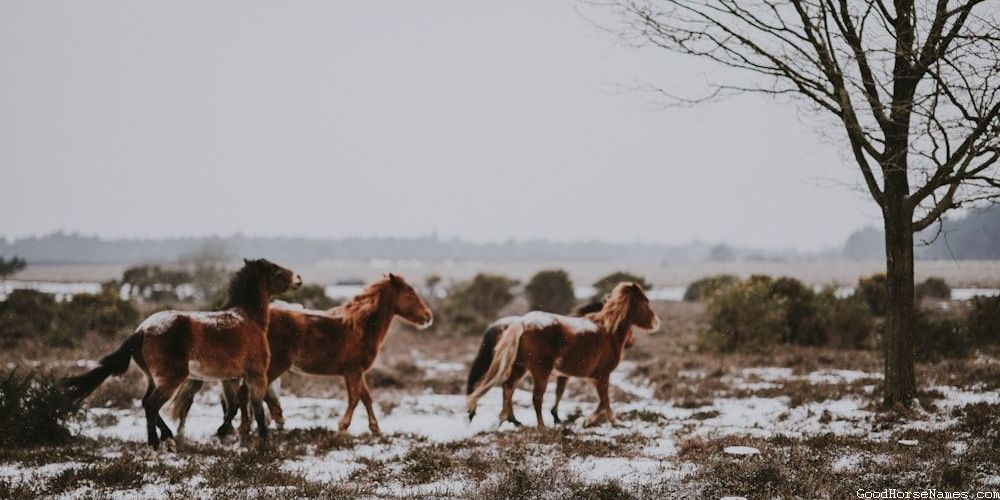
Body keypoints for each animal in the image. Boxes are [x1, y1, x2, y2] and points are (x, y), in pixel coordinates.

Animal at [63, 258, 302, 450]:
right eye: (276, 269)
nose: (298, 278)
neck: (249, 320)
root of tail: (141, 330)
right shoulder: (256, 375)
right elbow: (257, 408)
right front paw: (263, 443)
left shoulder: (231, 378)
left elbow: (233, 408)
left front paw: (225, 432)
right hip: (172, 378)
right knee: (151, 405)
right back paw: (157, 445)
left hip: (153, 378)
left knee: (146, 403)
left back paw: (167, 438)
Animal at [170, 273, 433, 439]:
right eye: (410, 293)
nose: (428, 316)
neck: (359, 326)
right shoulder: (352, 371)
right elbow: (355, 399)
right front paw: (342, 429)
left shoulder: (356, 373)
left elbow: (366, 398)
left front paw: (375, 430)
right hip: (273, 366)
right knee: (249, 393)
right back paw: (249, 428)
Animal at [466, 282, 659, 427]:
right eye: (646, 302)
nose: (656, 323)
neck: (608, 332)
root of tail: (522, 323)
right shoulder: (602, 375)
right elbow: (605, 401)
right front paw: (603, 422)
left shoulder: (586, 376)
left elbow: (598, 400)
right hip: (540, 372)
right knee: (536, 398)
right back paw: (541, 428)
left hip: (520, 367)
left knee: (508, 387)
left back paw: (508, 420)